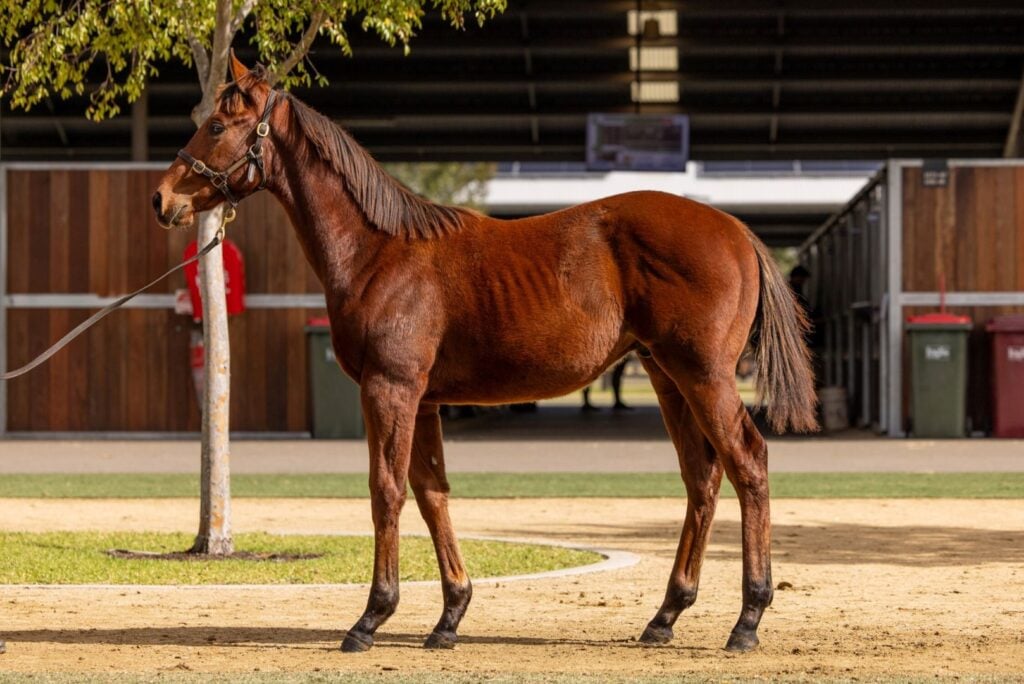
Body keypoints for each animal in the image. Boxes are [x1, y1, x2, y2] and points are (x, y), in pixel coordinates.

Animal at [153, 54, 817, 654]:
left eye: (218, 125)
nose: (162, 199)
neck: (378, 251)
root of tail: (736, 230)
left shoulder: (389, 389)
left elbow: (386, 490)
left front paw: (372, 618)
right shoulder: (423, 402)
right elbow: (432, 492)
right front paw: (449, 617)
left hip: (703, 376)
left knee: (748, 463)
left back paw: (747, 620)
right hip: (666, 376)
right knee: (702, 478)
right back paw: (666, 616)